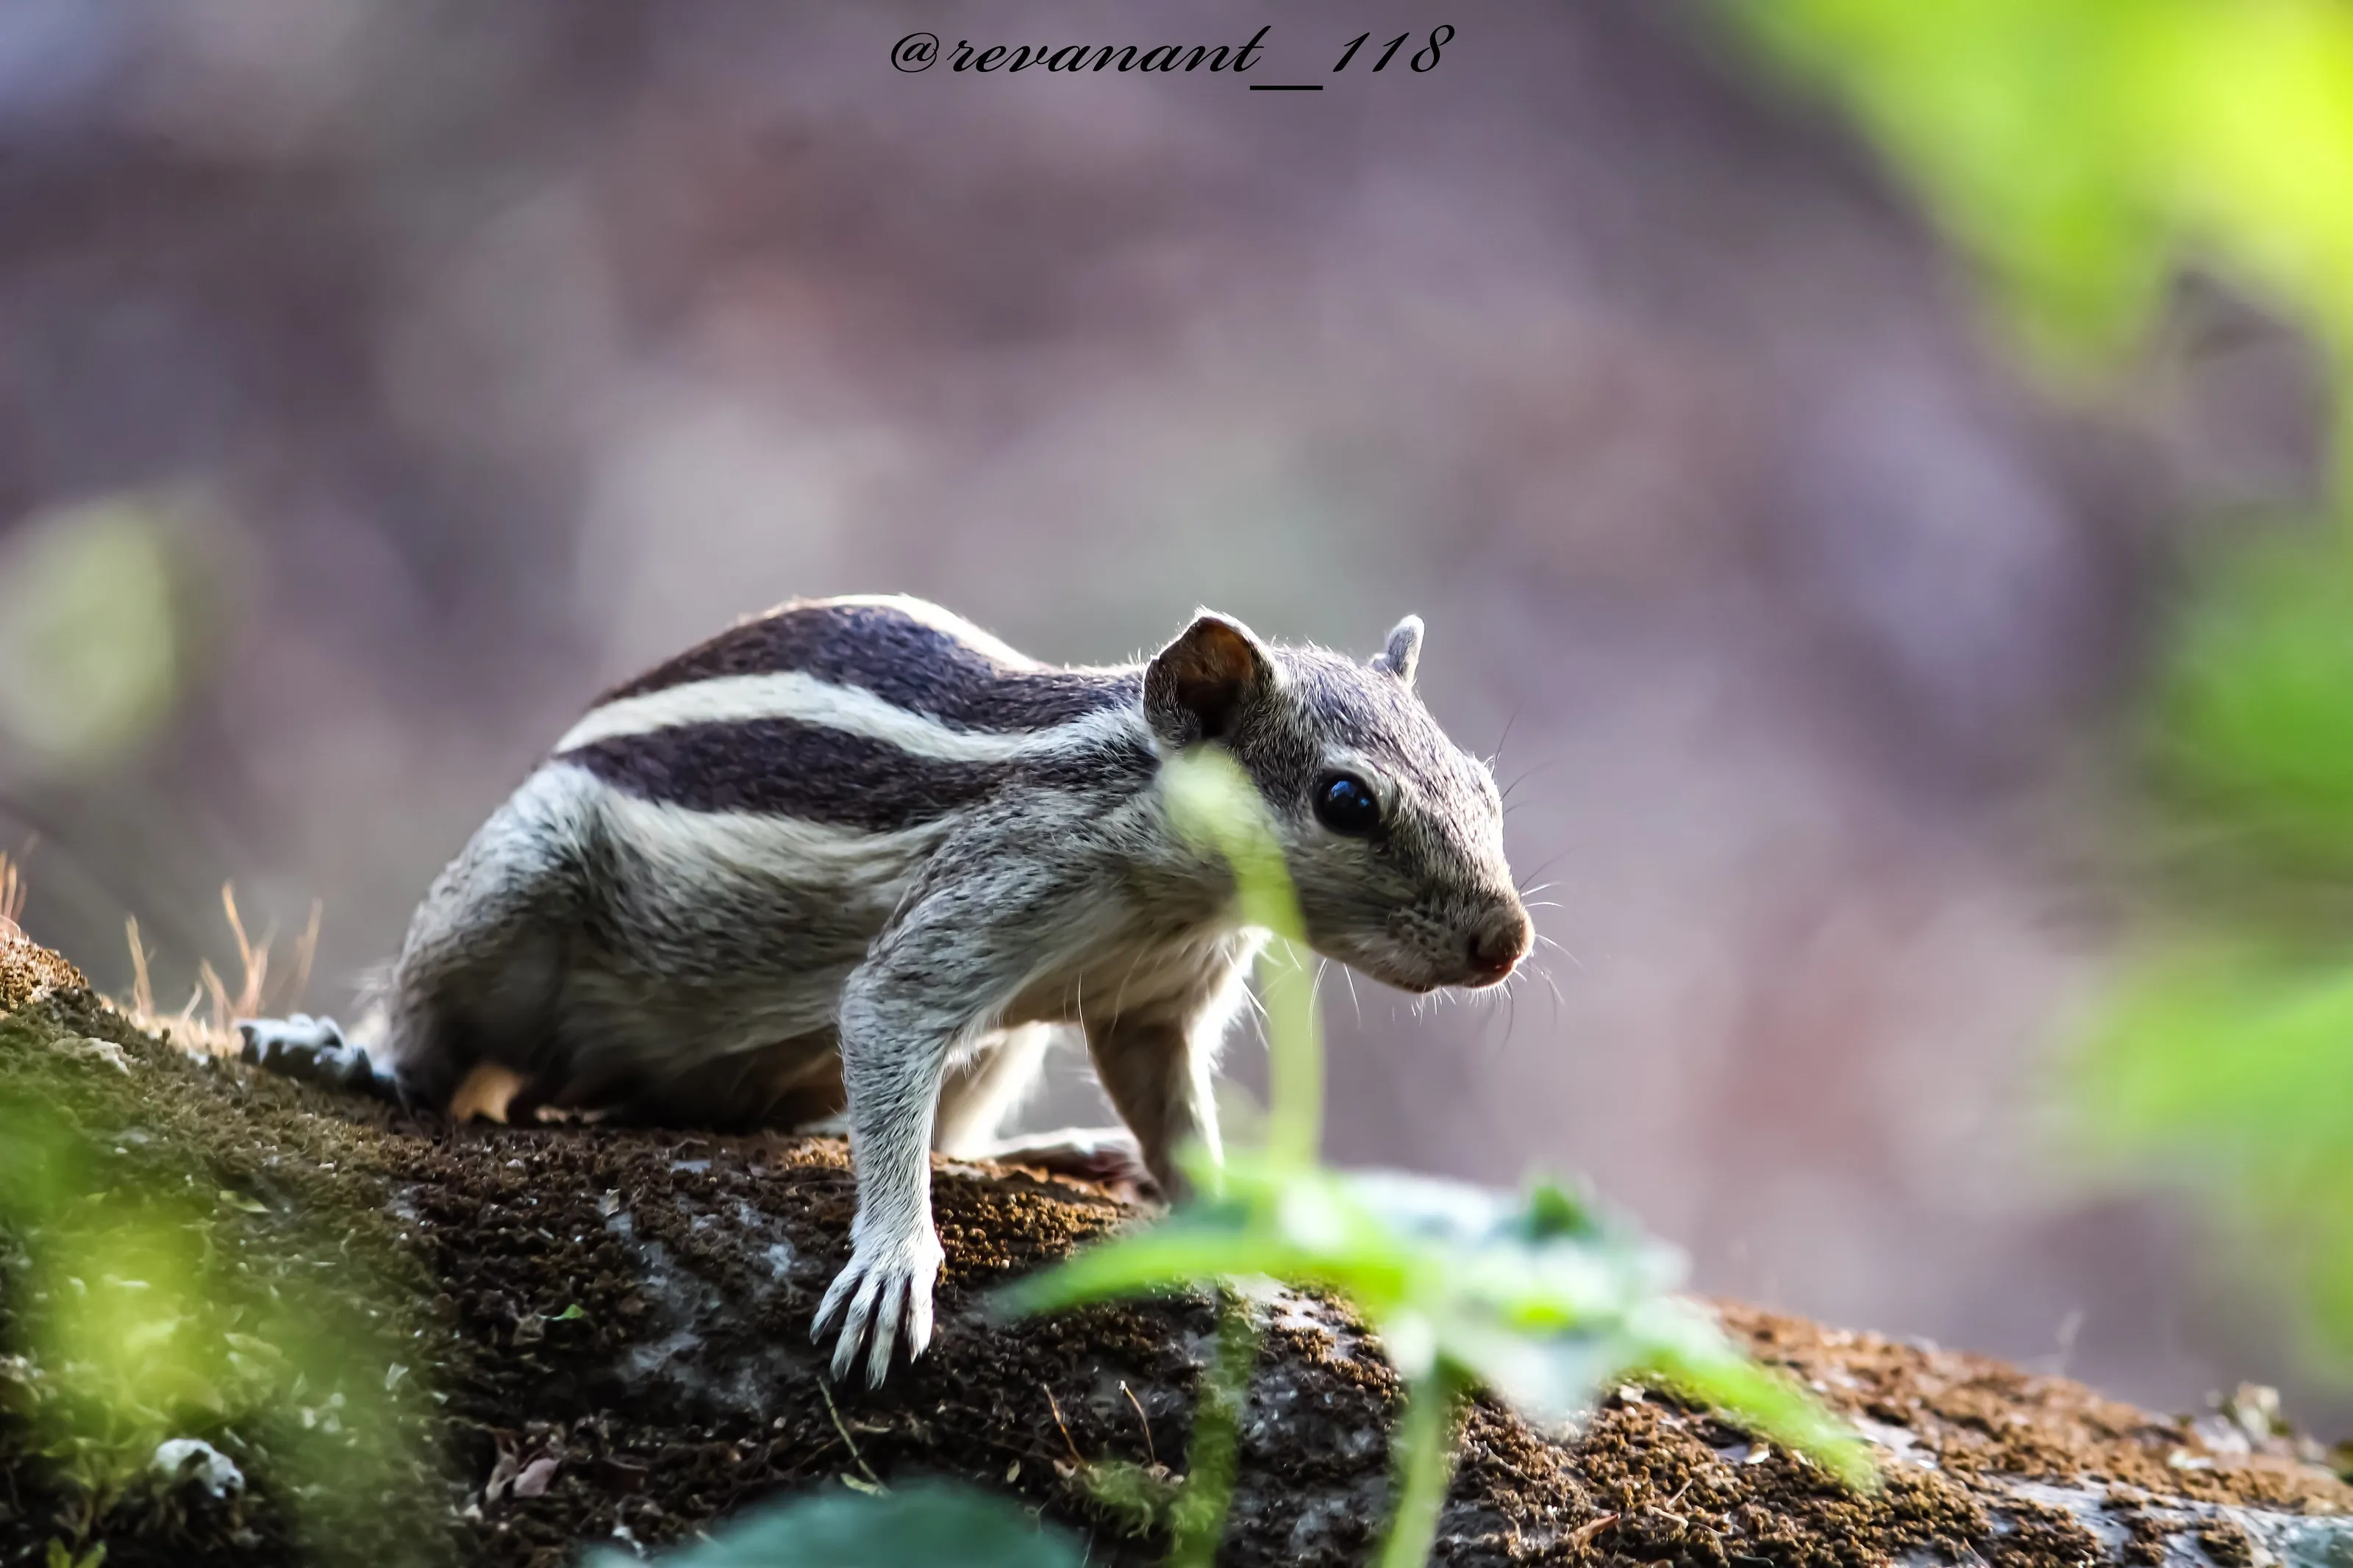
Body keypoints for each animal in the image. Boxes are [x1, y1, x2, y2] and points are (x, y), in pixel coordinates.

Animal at [238, 595, 1531, 1385]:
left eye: (1482, 781)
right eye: (1346, 800)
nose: (1506, 941)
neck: (1166, 888)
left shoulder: (1152, 1008)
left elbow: (1174, 1120)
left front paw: (1240, 1215)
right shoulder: (974, 911)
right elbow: (886, 1016)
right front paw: (896, 1259)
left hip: (998, 1053)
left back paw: (1053, 1151)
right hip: (513, 885)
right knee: (433, 1035)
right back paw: (345, 1052)